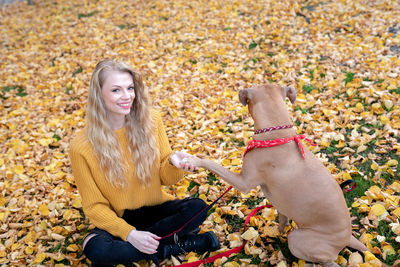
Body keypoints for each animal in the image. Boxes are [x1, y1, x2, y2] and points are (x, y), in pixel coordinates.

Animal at [188, 85, 368, 266]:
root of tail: (347, 238)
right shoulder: (282, 205)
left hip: (298, 239)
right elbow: (282, 220)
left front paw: (191, 159)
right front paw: (275, 232)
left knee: (327, 261)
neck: (278, 135)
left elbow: (212, 163)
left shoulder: (243, 182)